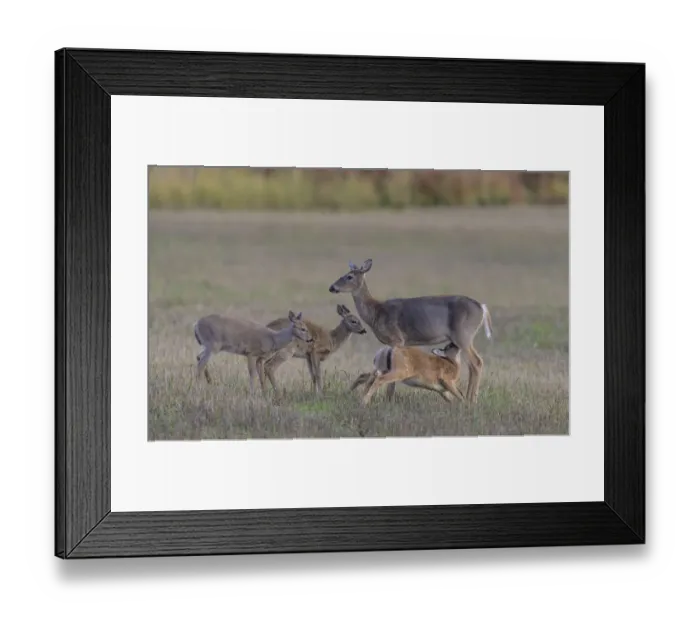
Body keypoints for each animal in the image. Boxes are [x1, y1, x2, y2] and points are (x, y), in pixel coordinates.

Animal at [328, 259, 493, 404]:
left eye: (349, 276)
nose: (332, 287)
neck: (376, 312)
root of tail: (482, 307)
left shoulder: (397, 338)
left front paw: (389, 400)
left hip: (463, 336)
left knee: (477, 362)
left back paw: (472, 400)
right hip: (464, 338)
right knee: (472, 365)